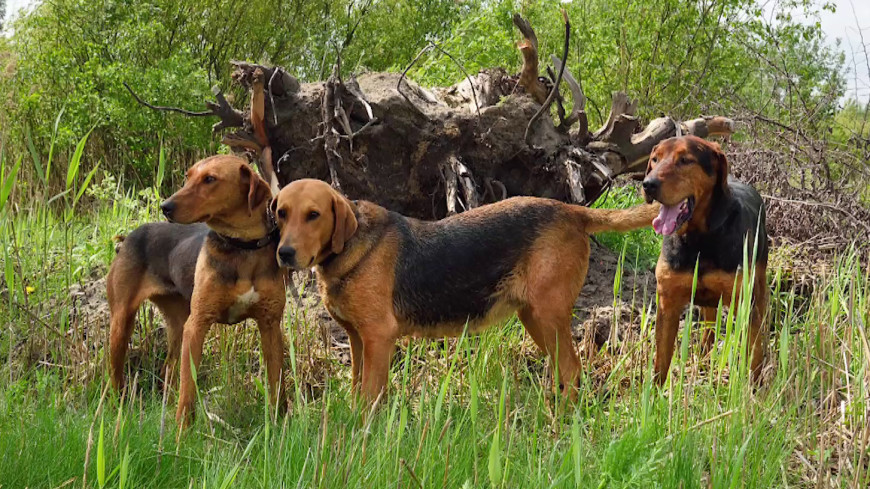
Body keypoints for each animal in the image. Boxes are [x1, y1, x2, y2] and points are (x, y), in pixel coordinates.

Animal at [104, 154, 284, 426]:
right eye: (187, 176)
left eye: (210, 179)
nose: (165, 207)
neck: (241, 246)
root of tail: (129, 237)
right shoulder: (197, 324)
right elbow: (188, 389)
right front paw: (182, 431)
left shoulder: (270, 325)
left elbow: (276, 383)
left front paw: (277, 425)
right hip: (122, 322)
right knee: (115, 374)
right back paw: (118, 409)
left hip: (178, 323)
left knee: (168, 368)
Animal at [272, 177, 660, 402]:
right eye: (280, 213)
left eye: (314, 215)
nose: (284, 253)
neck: (349, 246)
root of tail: (572, 211)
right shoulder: (357, 339)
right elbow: (357, 390)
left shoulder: (379, 337)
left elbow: (370, 397)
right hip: (535, 319)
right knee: (565, 370)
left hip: (548, 316)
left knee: (572, 369)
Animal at [640, 135, 768, 384]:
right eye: (655, 159)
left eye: (685, 160)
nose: (648, 184)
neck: (699, 239)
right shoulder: (667, 303)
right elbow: (661, 360)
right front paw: (653, 392)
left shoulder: (744, 303)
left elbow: (753, 357)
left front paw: (754, 389)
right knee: (708, 330)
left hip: (760, 285)